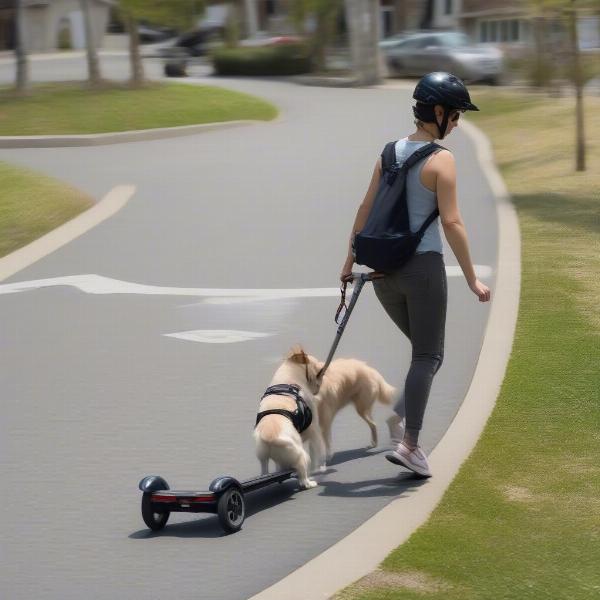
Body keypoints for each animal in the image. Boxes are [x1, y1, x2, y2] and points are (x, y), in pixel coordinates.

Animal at [254, 344, 328, 490]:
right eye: (319, 371)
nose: (324, 374)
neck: (289, 379)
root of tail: (269, 436)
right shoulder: (314, 430)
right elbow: (317, 450)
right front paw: (321, 466)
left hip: (263, 457)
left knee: (267, 470)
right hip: (302, 455)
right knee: (303, 478)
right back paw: (310, 482)